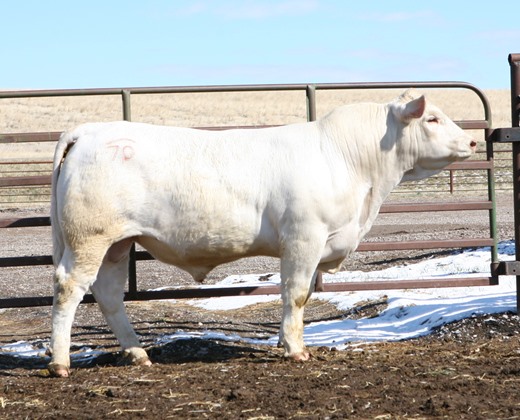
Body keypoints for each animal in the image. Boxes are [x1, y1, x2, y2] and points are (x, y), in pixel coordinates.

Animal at [47, 89, 476, 378]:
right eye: (432, 119)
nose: (472, 140)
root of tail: (88, 132)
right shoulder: (304, 236)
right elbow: (297, 294)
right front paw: (296, 349)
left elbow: (296, 294)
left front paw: (286, 342)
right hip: (90, 237)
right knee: (70, 288)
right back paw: (59, 361)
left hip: (117, 244)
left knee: (109, 294)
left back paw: (138, 353)